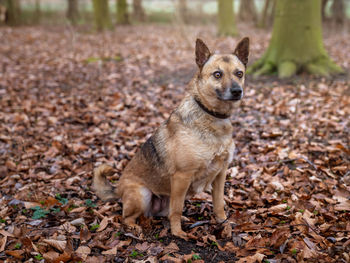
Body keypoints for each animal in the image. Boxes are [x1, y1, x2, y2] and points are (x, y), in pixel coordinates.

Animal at [93, 37, 249, 241]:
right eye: (217, 74)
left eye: (239, 73)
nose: (237, 91)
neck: (211, 116)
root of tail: (118, 188)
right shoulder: (182, 177)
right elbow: (176, 209)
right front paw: (177, 233)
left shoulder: (221, 174)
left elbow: (219, 205)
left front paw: (224, 226)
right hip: (143, 194)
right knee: (127, 217)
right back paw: (135, 228)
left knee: (161, 213)